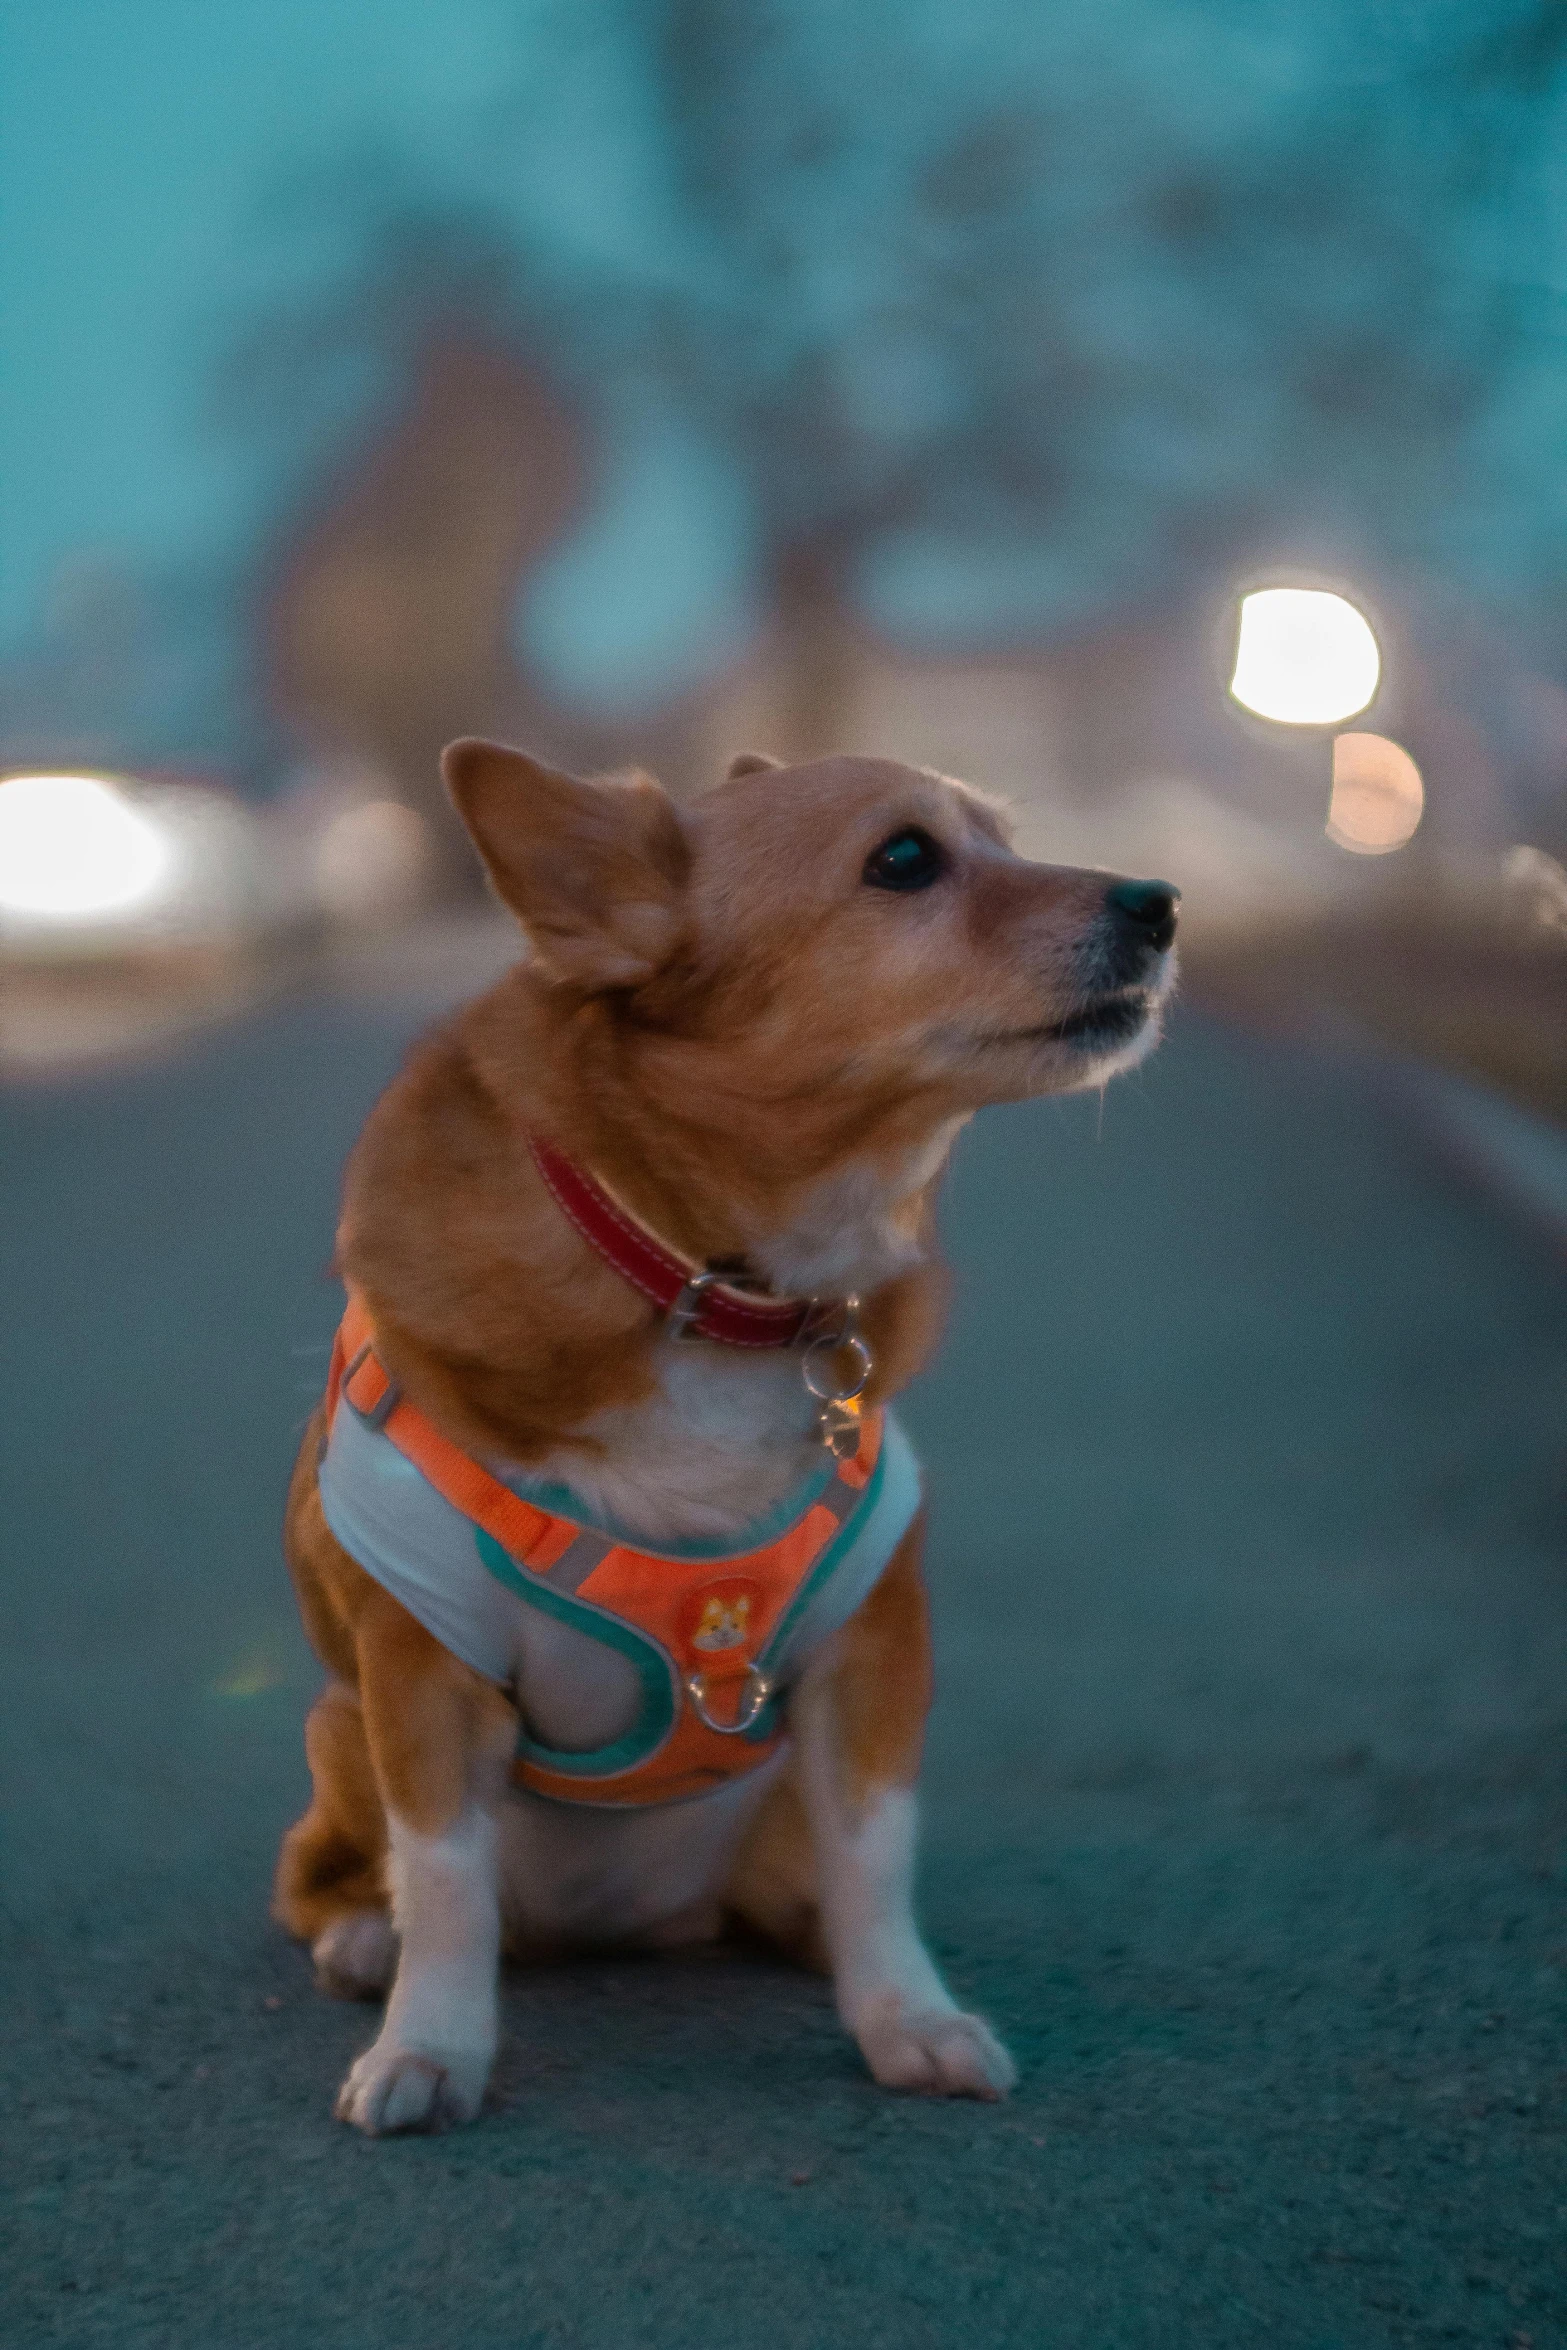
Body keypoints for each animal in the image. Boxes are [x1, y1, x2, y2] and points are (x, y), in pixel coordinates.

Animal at [272, 747, 1174, 2133]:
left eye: (1008, 839)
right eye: (905, 859)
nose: (1160, 902)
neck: (711, 1280)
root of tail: (623, 1924)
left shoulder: (872, 1656)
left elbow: (876, 1865)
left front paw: (905, 2017)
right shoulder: (417, 1676)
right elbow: (447, 1886)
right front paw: (429, 2045)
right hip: (337, 1727)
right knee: (330, 1879)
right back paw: (363, 1941)